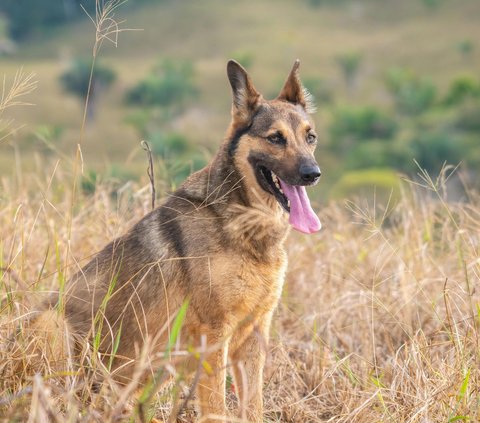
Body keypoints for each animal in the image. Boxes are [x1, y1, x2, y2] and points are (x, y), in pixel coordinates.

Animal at [41, 58, 322, 420]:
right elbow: (217, 410)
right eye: (275, 138)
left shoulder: (253, 338)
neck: (242, 223)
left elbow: (253, 409)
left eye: (310, 137)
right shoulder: (214, 338)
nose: (312, 174)